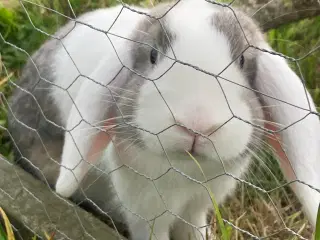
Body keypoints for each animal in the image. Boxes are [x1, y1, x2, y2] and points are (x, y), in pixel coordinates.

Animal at [6, 0, 320, 239]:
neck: (185, 171)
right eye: (153, 55)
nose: (196, 124)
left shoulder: (197, 206)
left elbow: (194, 228)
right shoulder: (145, 212)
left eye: (243, 61)